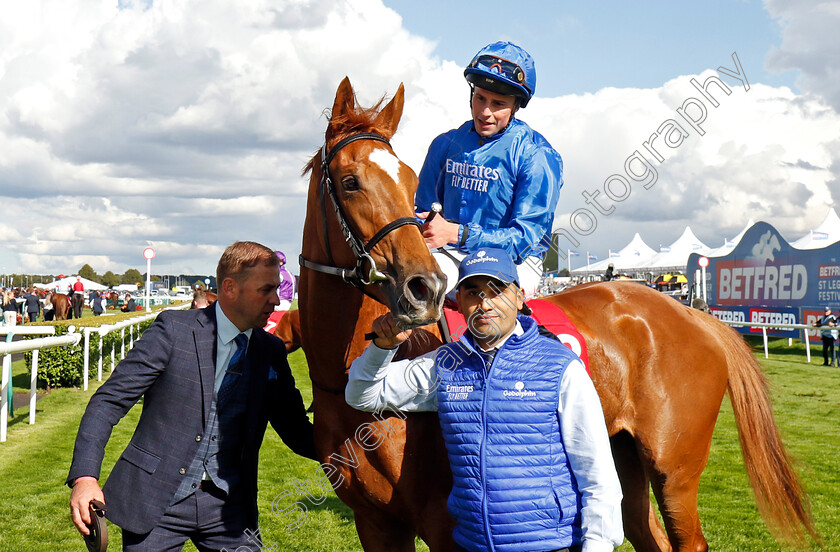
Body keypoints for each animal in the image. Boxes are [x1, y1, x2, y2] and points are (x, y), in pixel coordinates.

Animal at [298, 80, 816, 552]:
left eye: (409, 184)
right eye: (350, 182)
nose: (424, 287)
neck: (345, 381)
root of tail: (693, 315)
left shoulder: (445, 524)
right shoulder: (376, 522)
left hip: (675, 470)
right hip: (616, 456)